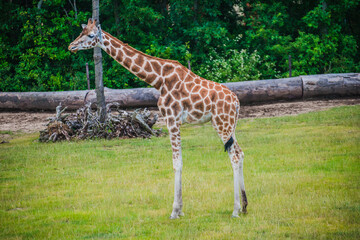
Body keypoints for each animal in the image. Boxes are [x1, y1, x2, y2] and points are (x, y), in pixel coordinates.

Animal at [68, 18, 248, 218]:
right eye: (81, 32)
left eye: (91, 35)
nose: (71, 46)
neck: (158, 80)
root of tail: (237, 101)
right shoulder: (174, 120)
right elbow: (179, 162)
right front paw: (180, 210)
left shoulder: (172, 119)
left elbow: (177, 163)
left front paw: (175, 211)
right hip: (228, 124)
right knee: (239, 153)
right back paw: (244, 206)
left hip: (222, 123)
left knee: (234, 156)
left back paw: (235, 210)